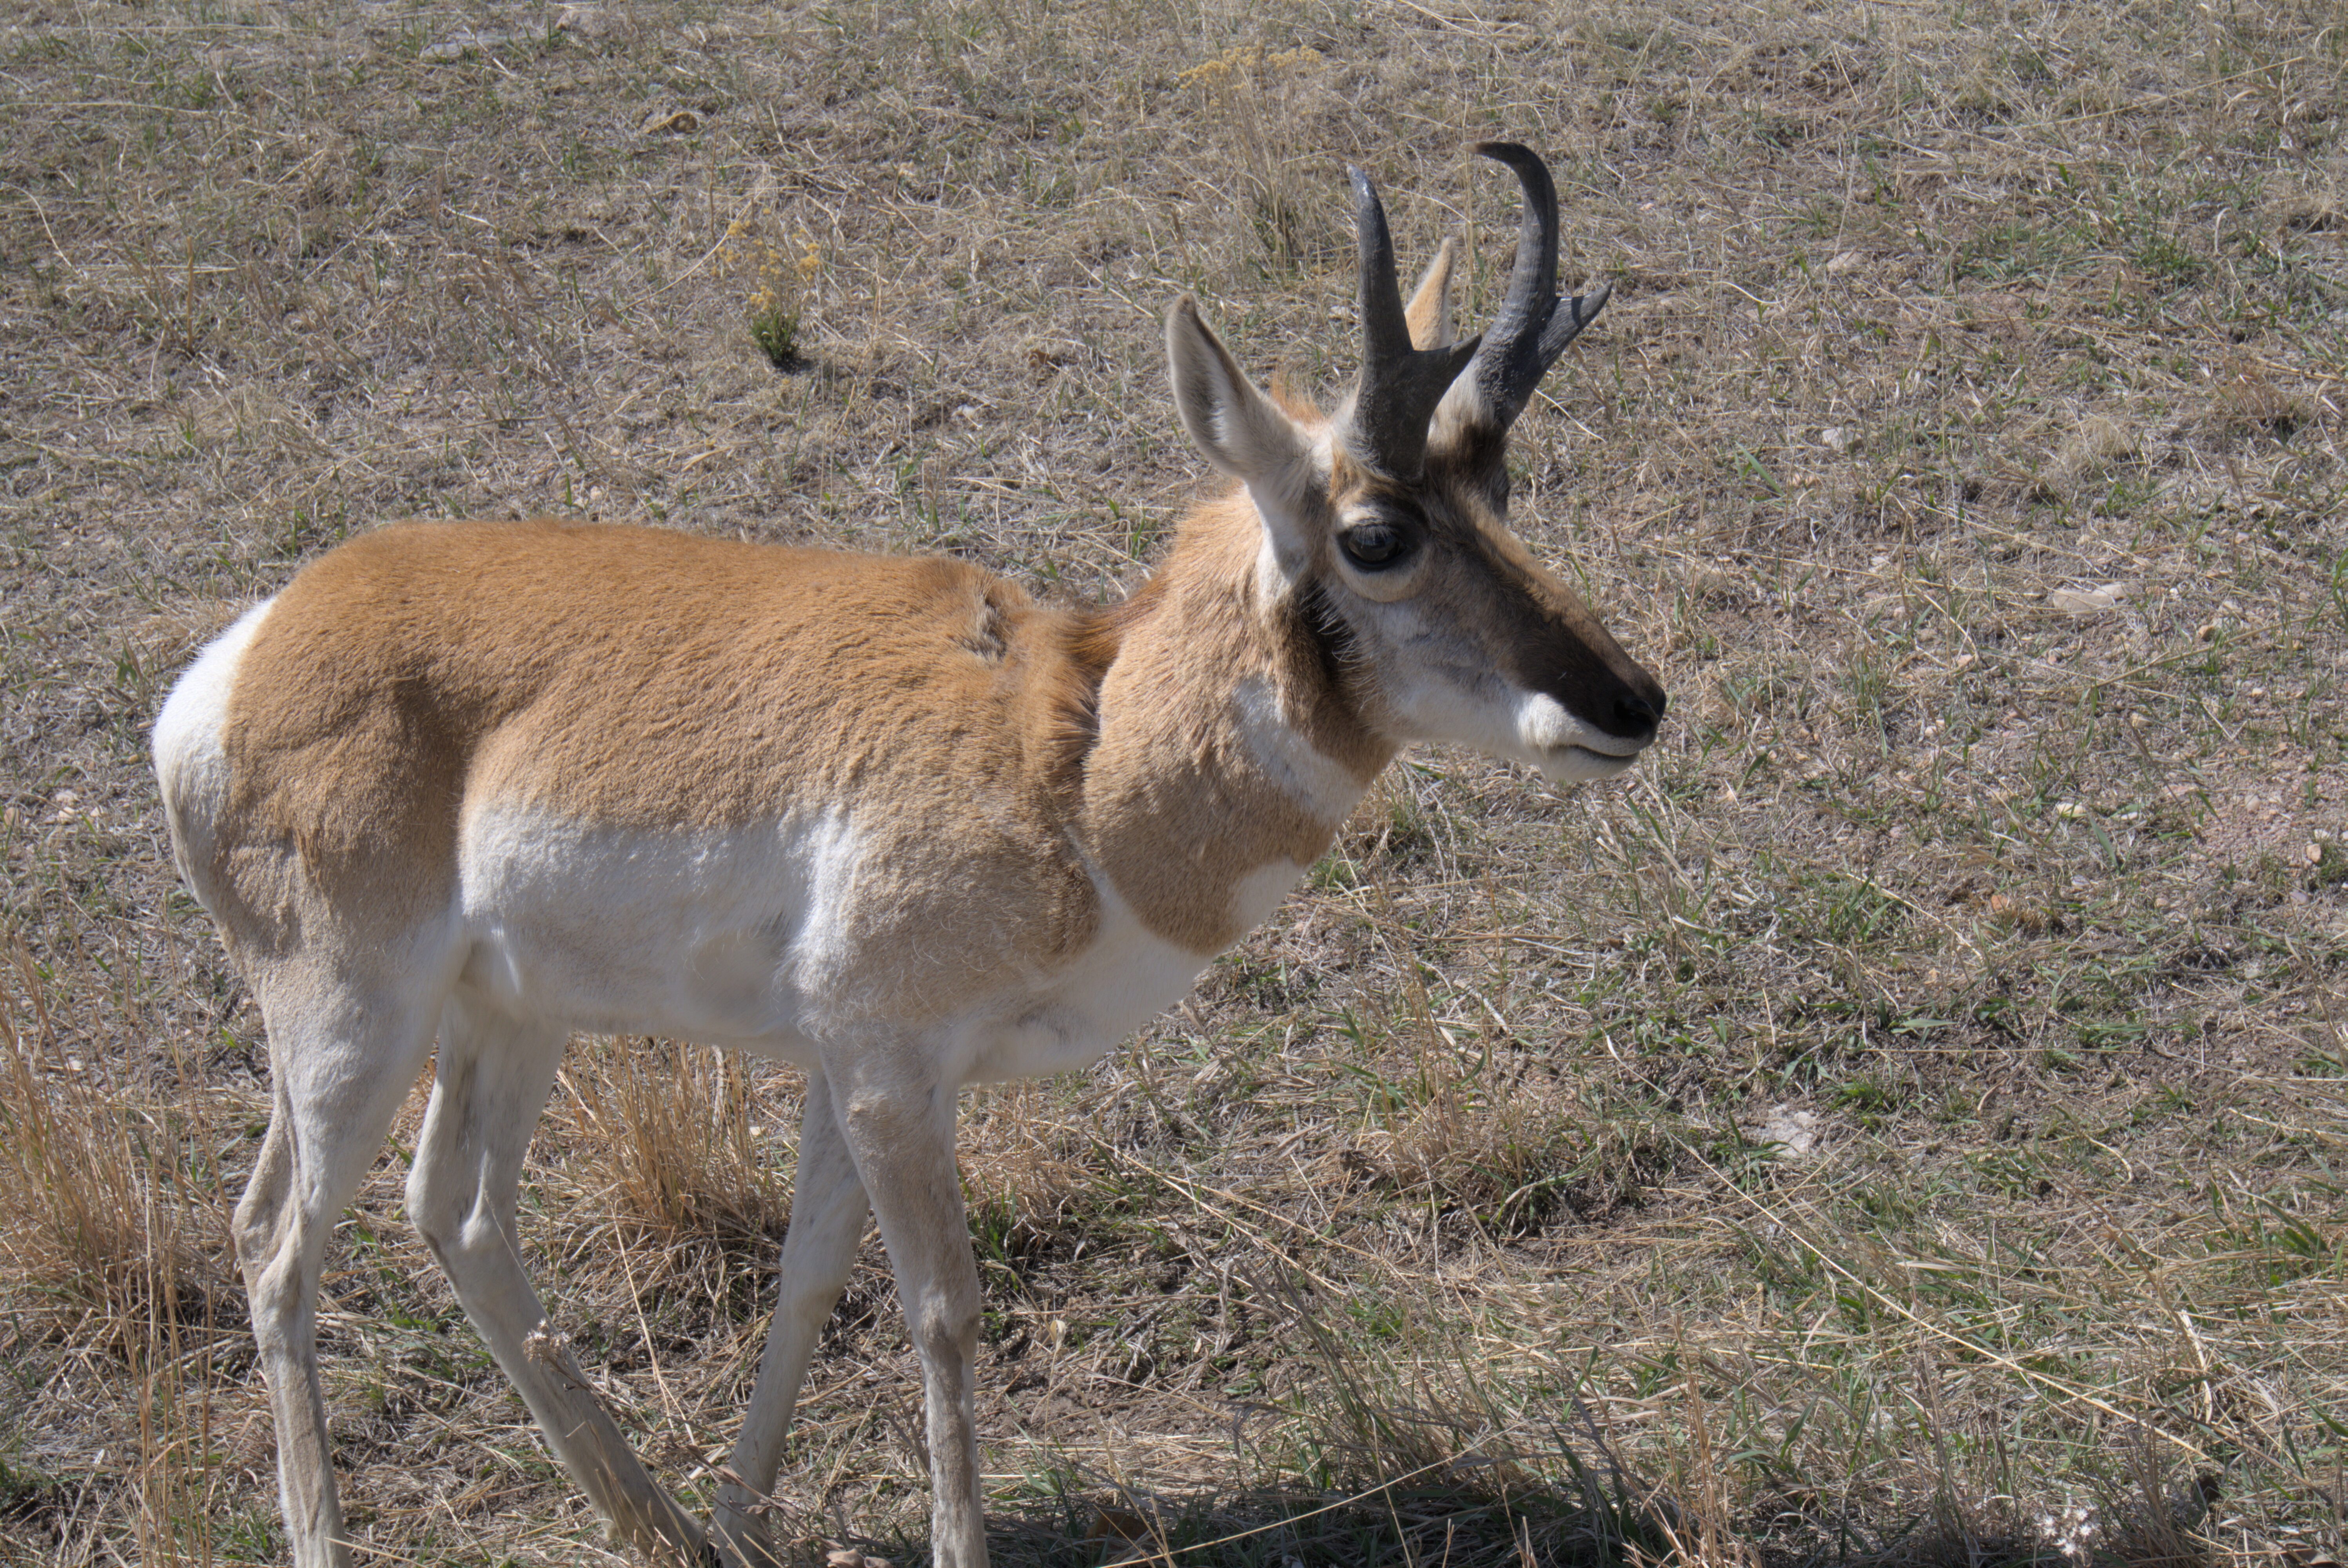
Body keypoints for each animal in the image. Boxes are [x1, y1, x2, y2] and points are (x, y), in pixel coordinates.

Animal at [150, 142, 1664, 1568]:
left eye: (1501, 486)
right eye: (1376, 535)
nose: (1631, 702)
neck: (1075, 753)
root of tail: (257, 647)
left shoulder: (849, 1069)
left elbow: (812, 1278)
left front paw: (746, 1521)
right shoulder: (889, 1067)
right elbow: (942, 1309)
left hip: (506, 1015)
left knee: (454, 1211)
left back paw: (656, 1523)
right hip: (351, 1018)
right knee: (273, 1242)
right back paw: (333, 1533)